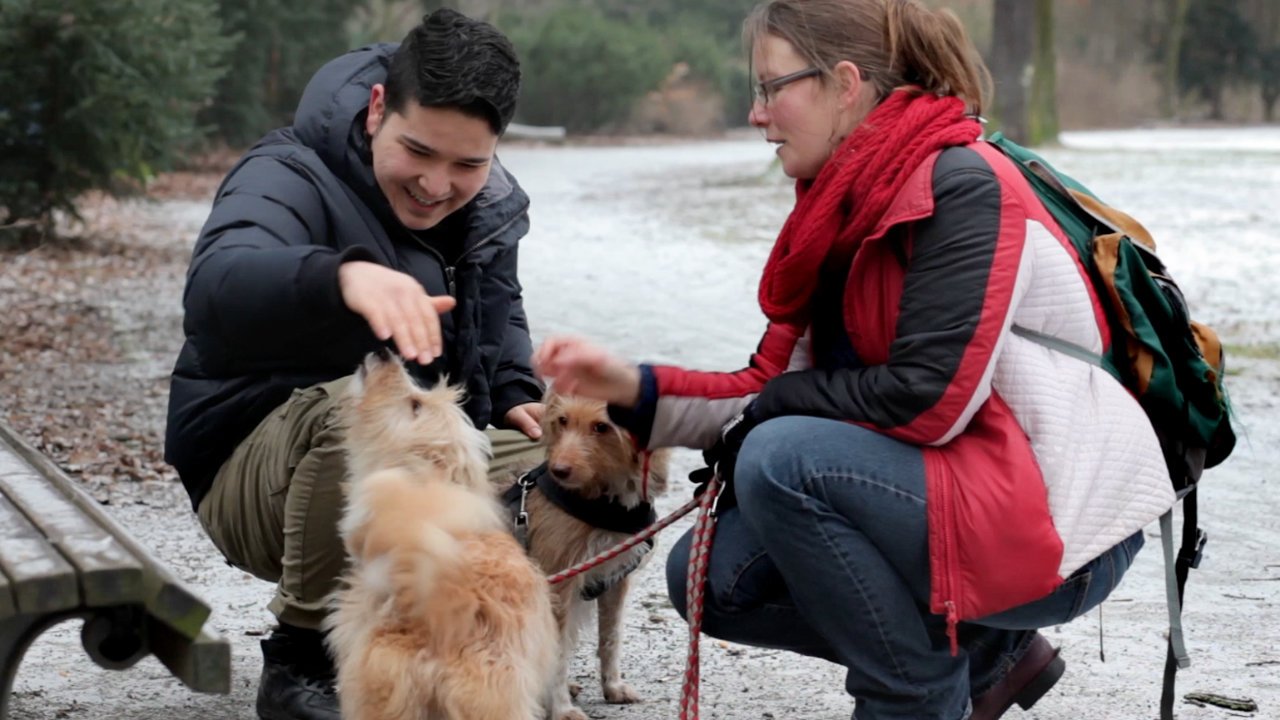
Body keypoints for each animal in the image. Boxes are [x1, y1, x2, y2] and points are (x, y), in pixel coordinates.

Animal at [501, 392, 675, 717]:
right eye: (563, 420)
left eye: (602, 427)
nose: (558, 470)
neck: (604, 500)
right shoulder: (557, 586)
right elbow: (557, 653)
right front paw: (560, 708)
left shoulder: (615, 580)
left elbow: (611, 637)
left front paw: (613, 686)